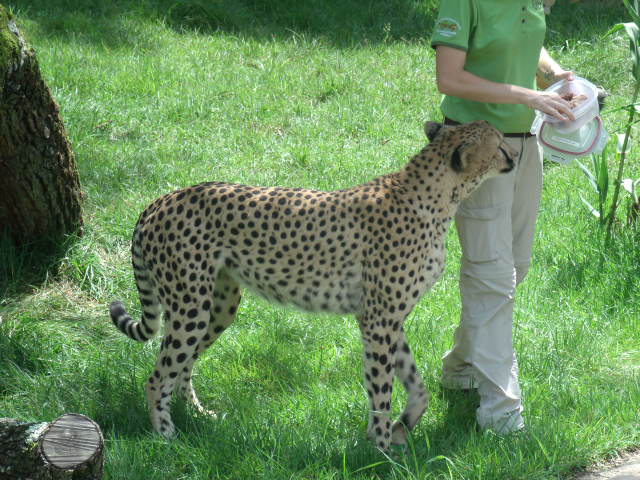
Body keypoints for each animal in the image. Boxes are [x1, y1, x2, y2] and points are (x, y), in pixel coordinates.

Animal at [109, 120, 516, 451]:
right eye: (498, 144)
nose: (515, 153)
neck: (437, 197)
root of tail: (161, 200)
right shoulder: (378, 319)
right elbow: (381, 386)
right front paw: (382, 447)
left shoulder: (388, 318)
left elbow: (416, 384)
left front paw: (403, 426)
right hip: (190, 306)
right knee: (158, 375)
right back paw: (166, 436)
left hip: (218, 306)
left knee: (183, 366)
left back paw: (197, 414)